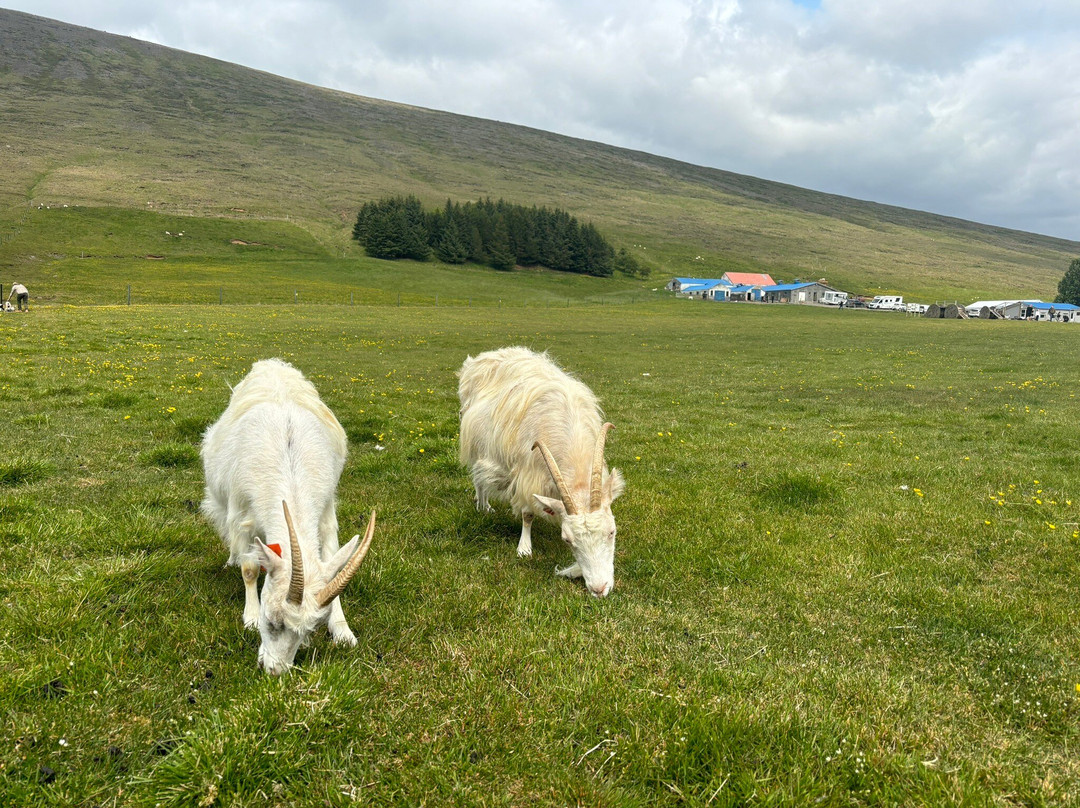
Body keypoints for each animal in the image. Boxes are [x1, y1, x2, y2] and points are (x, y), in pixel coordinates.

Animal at [201, 358, 375, 673]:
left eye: (310, 630)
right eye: (271, 620)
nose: (275, 670)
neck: (289, 464)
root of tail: (271, 365)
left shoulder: (327, 509)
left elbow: (332, 560)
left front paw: (343, 630)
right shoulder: (241, 511)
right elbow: (249, 569)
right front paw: (250, 617)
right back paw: (231, 559)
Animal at [458, 347, 625, 597]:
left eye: (612, 531)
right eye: (567, 540)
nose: (599, 589)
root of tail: (492, 353)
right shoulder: (529, 474)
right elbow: (527, 513)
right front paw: (524, 549)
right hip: (477, 443)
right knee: (479, 476)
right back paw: (483, 505)